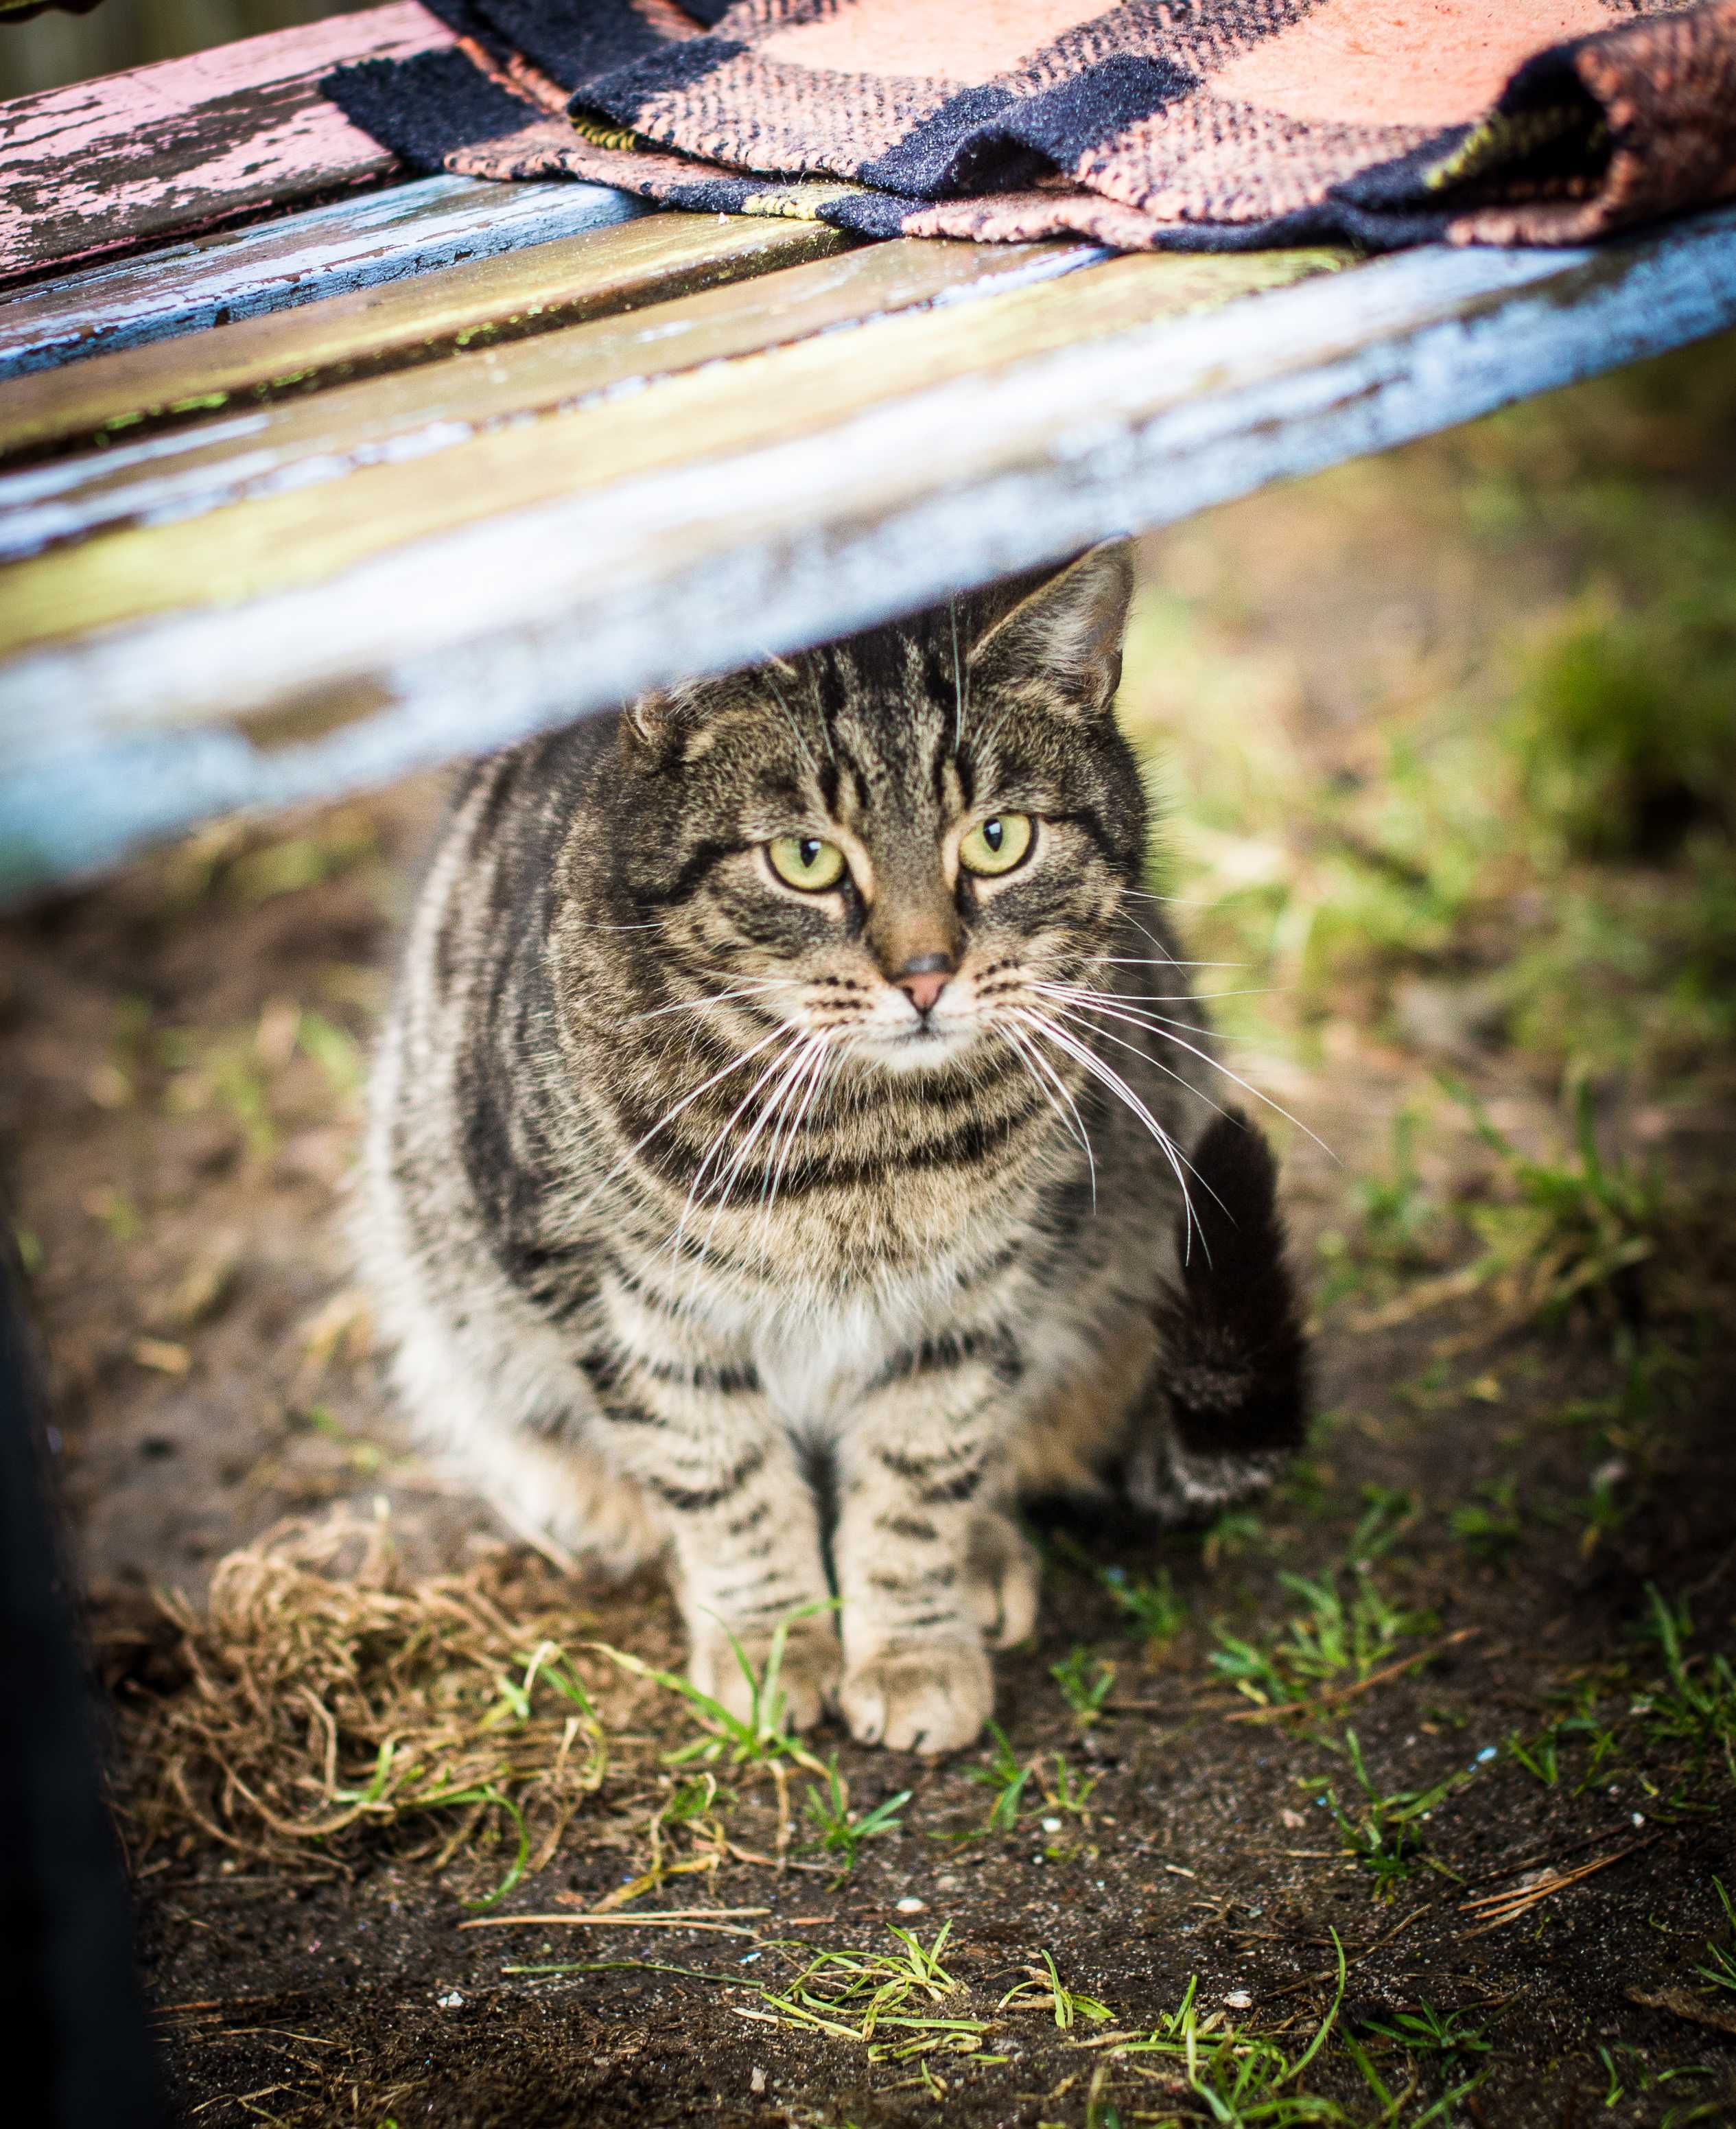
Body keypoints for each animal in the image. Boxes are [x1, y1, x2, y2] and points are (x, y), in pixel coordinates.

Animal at [364, 545, 1302, 1745]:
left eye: (998, 838)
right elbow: (722, 1478)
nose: (925, 972)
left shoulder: (977, 1293)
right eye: (805, 858)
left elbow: (918, 1476)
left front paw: (910, 1647)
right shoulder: (614, 1293)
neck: (865, 1144)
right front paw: (769, 1640)